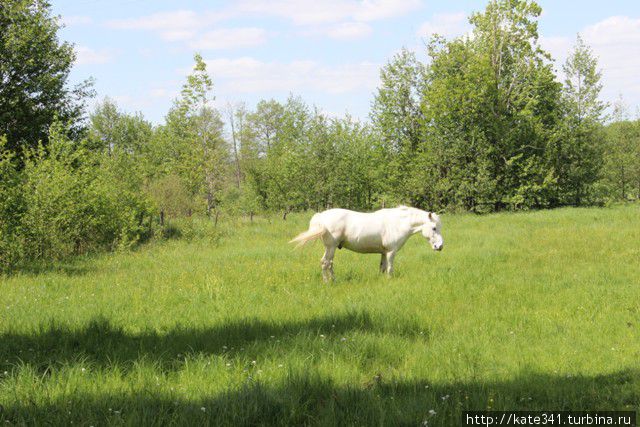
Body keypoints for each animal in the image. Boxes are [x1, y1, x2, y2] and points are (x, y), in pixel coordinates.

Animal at [292, 206, 444, 282]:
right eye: (434, 228)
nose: (440, 246)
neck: (398, 223)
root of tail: (321, 216)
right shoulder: (391, 252)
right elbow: (390, 268)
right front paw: (389, 280)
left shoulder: (383, 252)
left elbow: (382, 267)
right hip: (331, 247)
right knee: (325, 263)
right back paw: (327, 282)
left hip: (332, 248)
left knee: (330, 264)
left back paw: (334, 280)